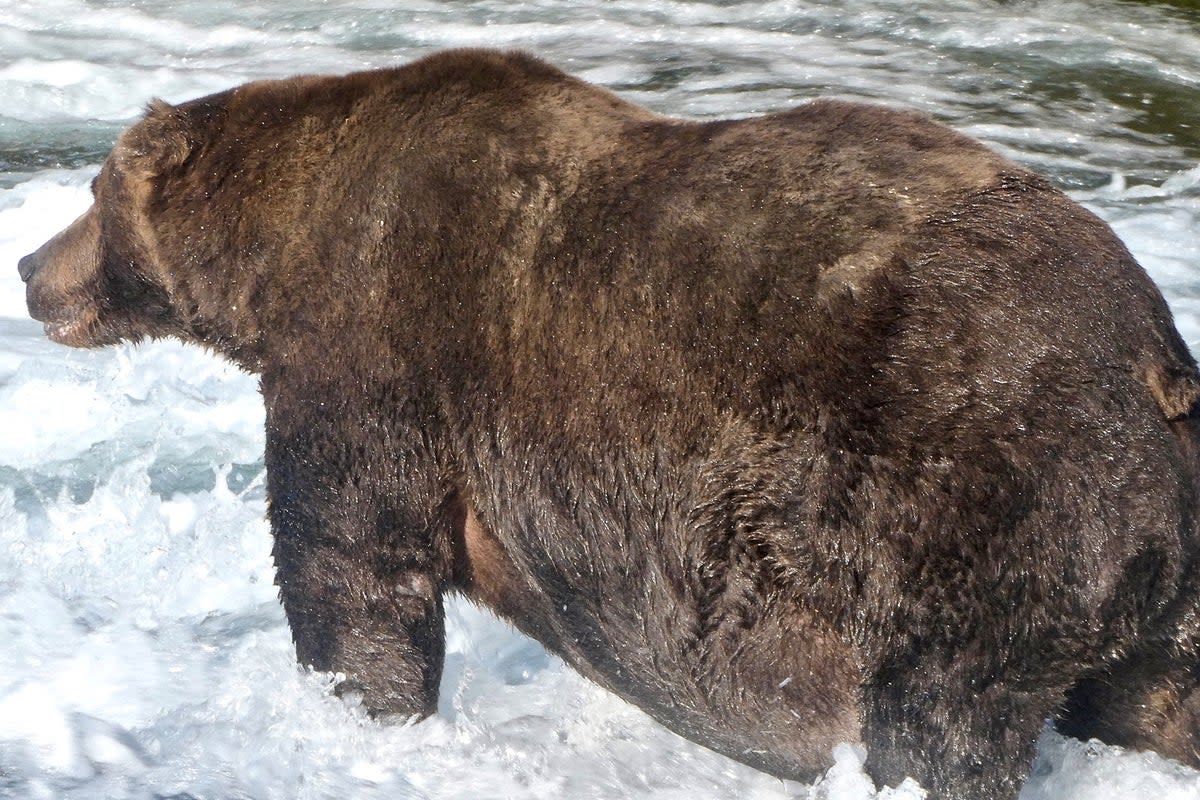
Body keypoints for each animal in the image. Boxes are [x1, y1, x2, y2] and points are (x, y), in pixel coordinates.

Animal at [14, 47, 1200, 796]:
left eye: (92, 191)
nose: (27, 265)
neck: (274, 256)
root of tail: (1156, 359)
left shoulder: (375, 342)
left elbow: (349, 561)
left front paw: (360, 708)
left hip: (973, 493)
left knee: (939, 719)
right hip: (1146, 554)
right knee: (1155, 697)